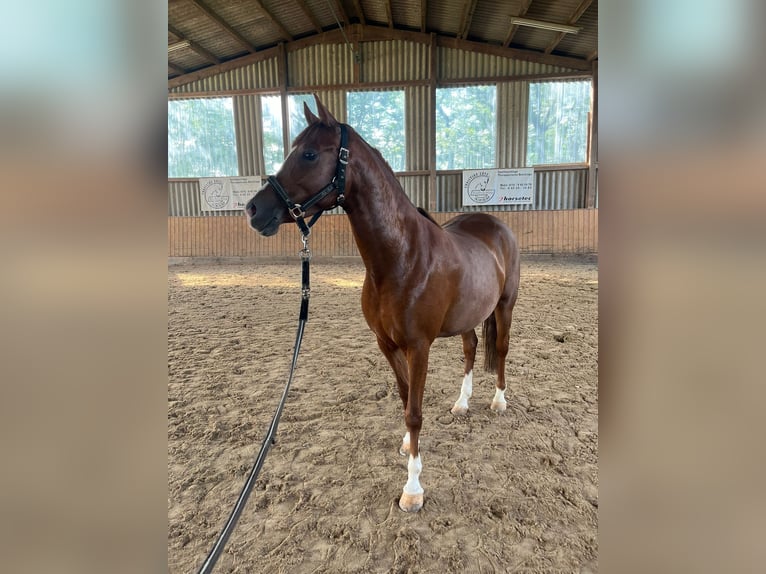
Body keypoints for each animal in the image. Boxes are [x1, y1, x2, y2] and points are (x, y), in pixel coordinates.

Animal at [246, 98, 520, 512]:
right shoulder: (387, 345)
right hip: (468, 315)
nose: (254, 209)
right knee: (472, 348)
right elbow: (406, 400)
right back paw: (462, 404)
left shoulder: (418, 347)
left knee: (500, 349)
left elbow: (415, 413)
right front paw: (409, 449)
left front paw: (413, 489)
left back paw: (498, 402)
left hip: (504, 306)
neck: (401, 259)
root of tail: (496, 226)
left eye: (309, 154)